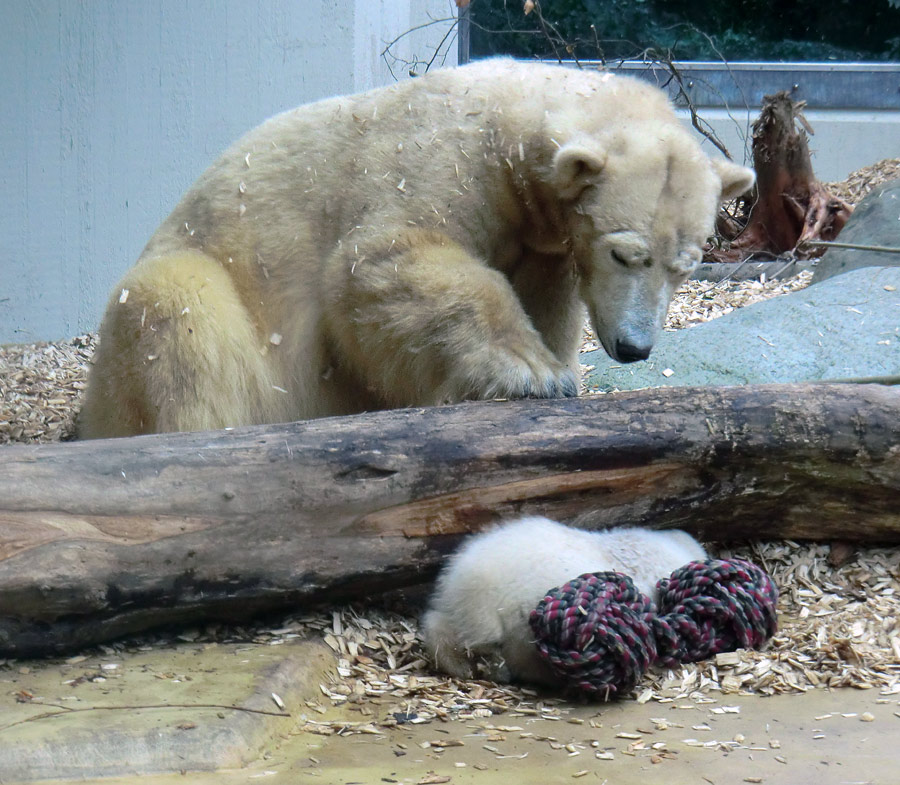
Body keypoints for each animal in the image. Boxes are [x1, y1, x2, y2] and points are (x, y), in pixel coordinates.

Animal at [77, 59, 752, 440]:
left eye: (686, 266)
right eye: (624, 254)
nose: (634, 348)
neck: (508, 127)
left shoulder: (540, 238)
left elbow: (546, 297)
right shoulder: (435, 162)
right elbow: (381, 263)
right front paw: (531, 372)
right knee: (175, 310)